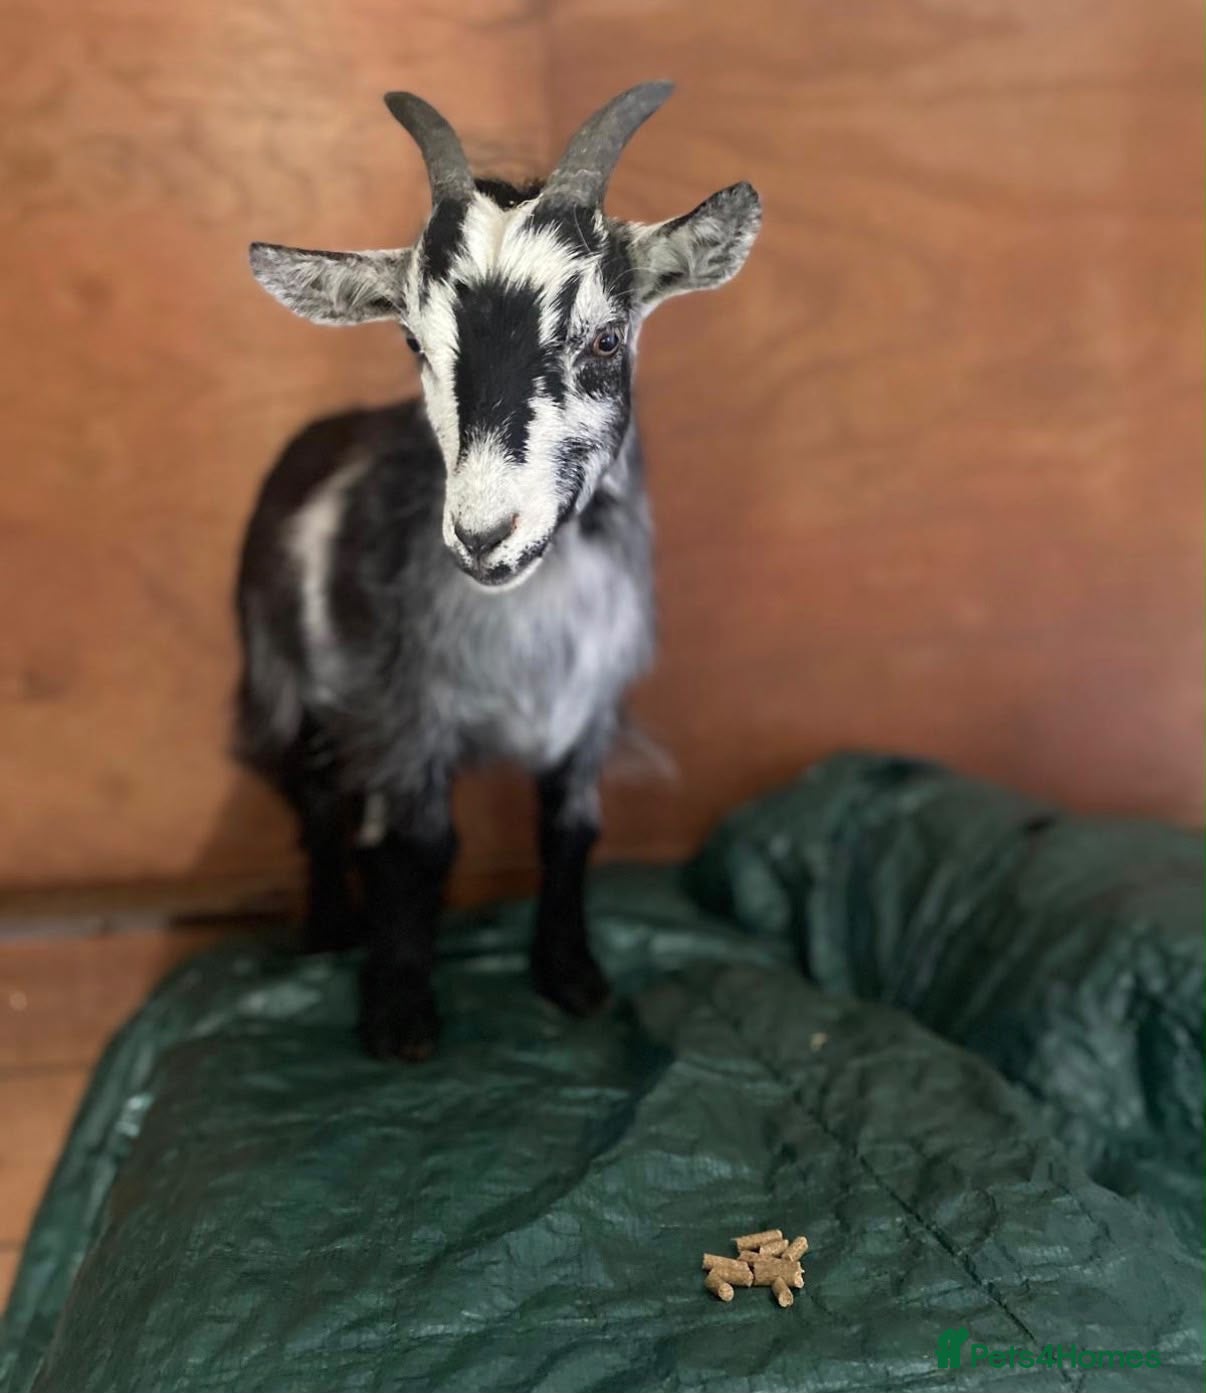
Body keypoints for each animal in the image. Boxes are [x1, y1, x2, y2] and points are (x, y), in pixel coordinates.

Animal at [239, 83, 762, 1059]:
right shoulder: (408, 714)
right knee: (316, 796)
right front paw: (399, 1013)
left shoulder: (588, 713)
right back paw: (329, 928)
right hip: (279, 678)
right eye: (414, 343)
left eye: (605, 340)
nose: (483, 536)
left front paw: (572, 976)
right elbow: (417, 846)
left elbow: (569, 832)